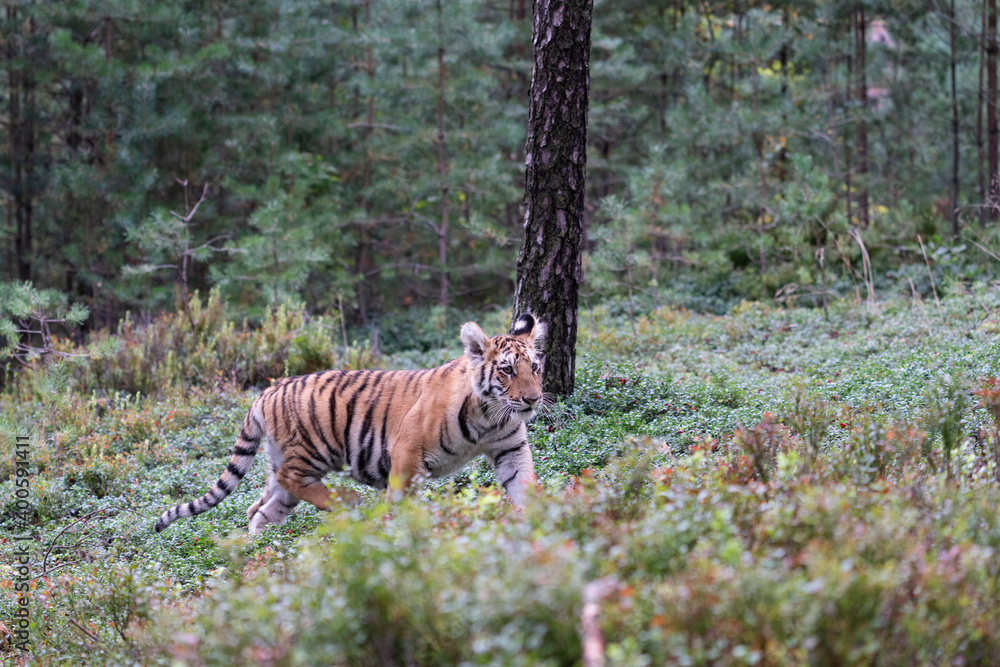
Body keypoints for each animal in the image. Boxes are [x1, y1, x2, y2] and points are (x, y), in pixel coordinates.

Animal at [154, 314, 546, 535]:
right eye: (507, 370)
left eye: (534, 368)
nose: (533, 399)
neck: (489, 416)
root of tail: (266, 391)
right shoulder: (406, 451)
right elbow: (401, 499)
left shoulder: (511, 448)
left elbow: (524, 483)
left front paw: (543, 520)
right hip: (313, 447)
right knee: (291, 479)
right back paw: (345, 501)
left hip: (281, 463)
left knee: (263, 506)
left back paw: (261, 546)